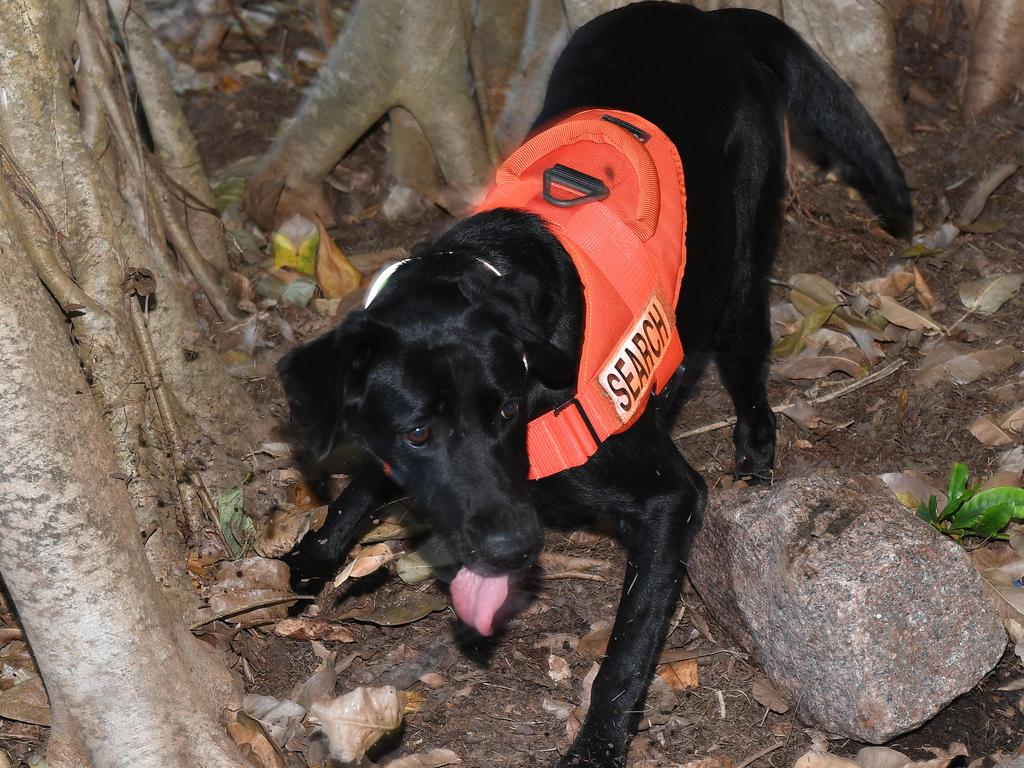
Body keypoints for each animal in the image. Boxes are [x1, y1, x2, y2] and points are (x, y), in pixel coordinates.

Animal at [276, 3, 909, 765]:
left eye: (507, 410)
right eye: (420, 431)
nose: (515, 548)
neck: (487, 269)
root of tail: (707, 18)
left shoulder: (669, 501)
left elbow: (628, 650)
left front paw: (599, 744)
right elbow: (363, 485)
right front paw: (314, 558)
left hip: (743, 259)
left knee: (748, 354)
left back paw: (755, 445)